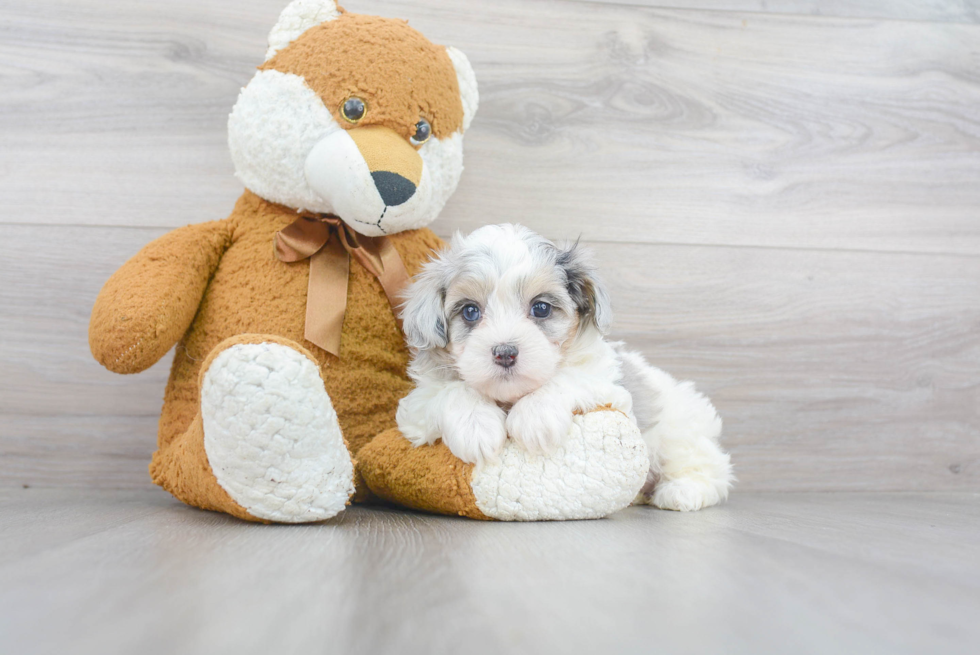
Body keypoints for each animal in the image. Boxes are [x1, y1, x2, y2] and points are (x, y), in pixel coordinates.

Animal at [394, 226, 732, 512]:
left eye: (541, 308)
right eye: (470, 312)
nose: (505, 353)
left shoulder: (607, 383)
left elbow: (566, 378)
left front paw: (534, 417)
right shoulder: (419, 402)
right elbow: (452, 390)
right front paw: (475, 426)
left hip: (680, 433)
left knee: (710, 467)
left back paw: (683, 491)